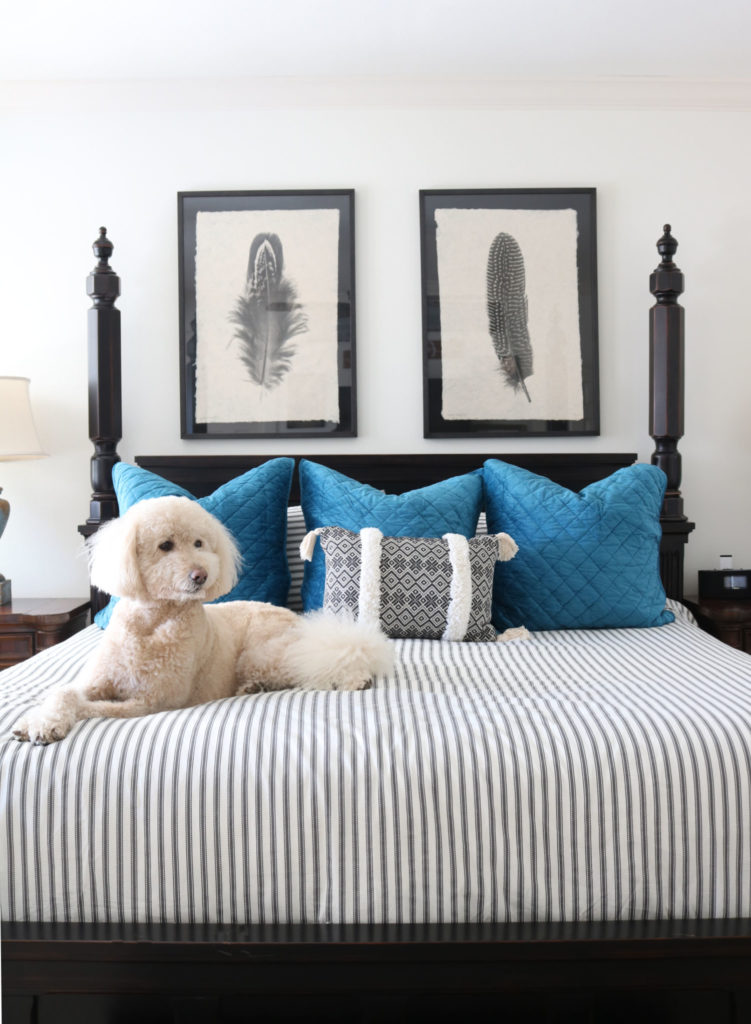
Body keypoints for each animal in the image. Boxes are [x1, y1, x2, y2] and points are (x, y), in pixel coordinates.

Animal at [11, 495, 393, 745]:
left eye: (199, 543)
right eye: (165, 545)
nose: (201, 575)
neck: (153, 623)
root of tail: (296, 621)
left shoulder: (150, 702)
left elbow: (90, 708)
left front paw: (49, 724)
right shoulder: (96, 681)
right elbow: (64, 693)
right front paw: (38, 721)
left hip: (265, 653)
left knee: (315, 663)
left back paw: (354, 679)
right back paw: (252, 688)